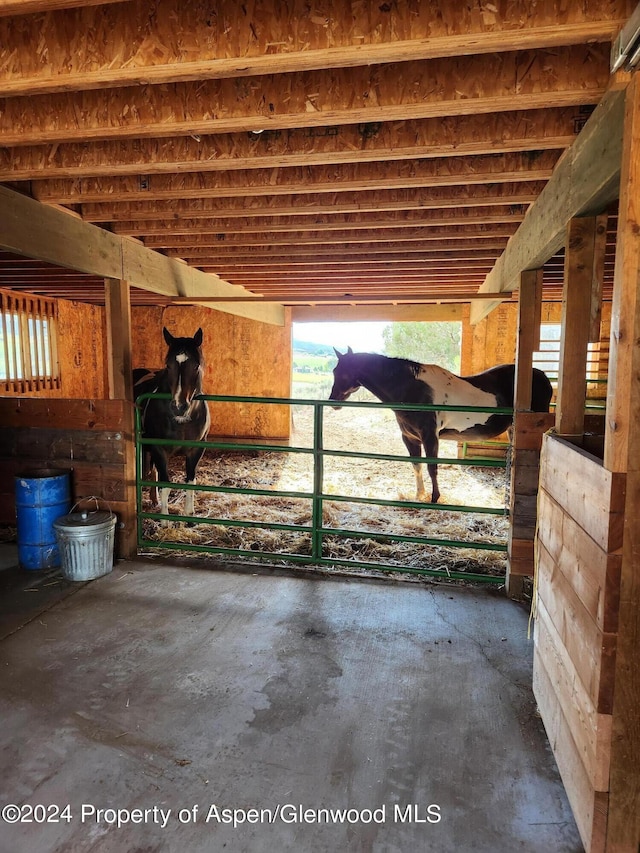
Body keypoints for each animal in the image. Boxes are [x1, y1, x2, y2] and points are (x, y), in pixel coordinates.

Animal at [134, 330, 211, 524]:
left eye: (196, 365)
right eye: (168, 366)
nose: (179, 406)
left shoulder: (196, 450)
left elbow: (190, 482)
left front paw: (190, 516)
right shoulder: (159, 449)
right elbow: (165, 484)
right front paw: (165, 520)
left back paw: (154, 500)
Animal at [328, 348, 552, 502]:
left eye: (342, 372)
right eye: (334, 371)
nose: (332, 401)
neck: (412, 389)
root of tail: (543, 376)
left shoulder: (430, 436)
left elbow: (432, 467)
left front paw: (435, 498)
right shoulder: (409, 437)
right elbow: (417, 465)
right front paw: (420, 495)